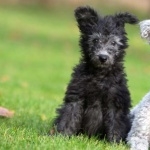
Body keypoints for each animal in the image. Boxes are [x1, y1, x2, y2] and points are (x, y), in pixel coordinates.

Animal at [52, 6, 138, 142]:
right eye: (96, 40)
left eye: (113, 43)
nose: (103, 57)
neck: (100, 75)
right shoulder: (76, 98)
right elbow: (69, 118)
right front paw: (62, 137)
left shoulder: (115, 103)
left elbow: (115, 125)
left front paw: (115, 143)